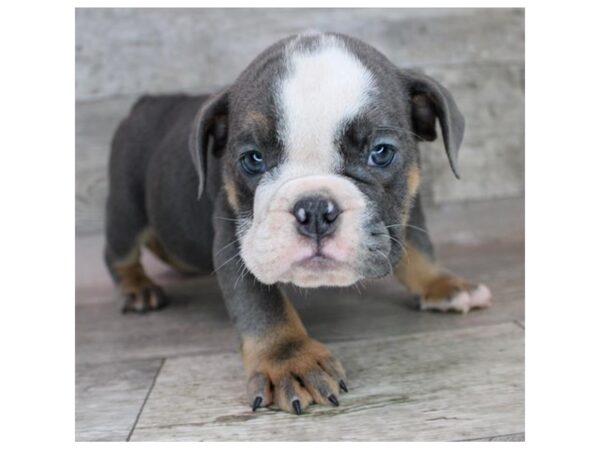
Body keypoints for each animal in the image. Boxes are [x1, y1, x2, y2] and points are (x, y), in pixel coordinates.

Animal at [105, 31, 492, 414]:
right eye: (253, 159)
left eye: (381, 153)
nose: (316, 210)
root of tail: (145, 102)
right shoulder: (235, 240)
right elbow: (261, 303)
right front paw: (288, 359)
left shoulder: (405, 208)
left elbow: (419, 247)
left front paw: (443, 284)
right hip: (127, 209)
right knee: (119, 253)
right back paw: (138, 288)